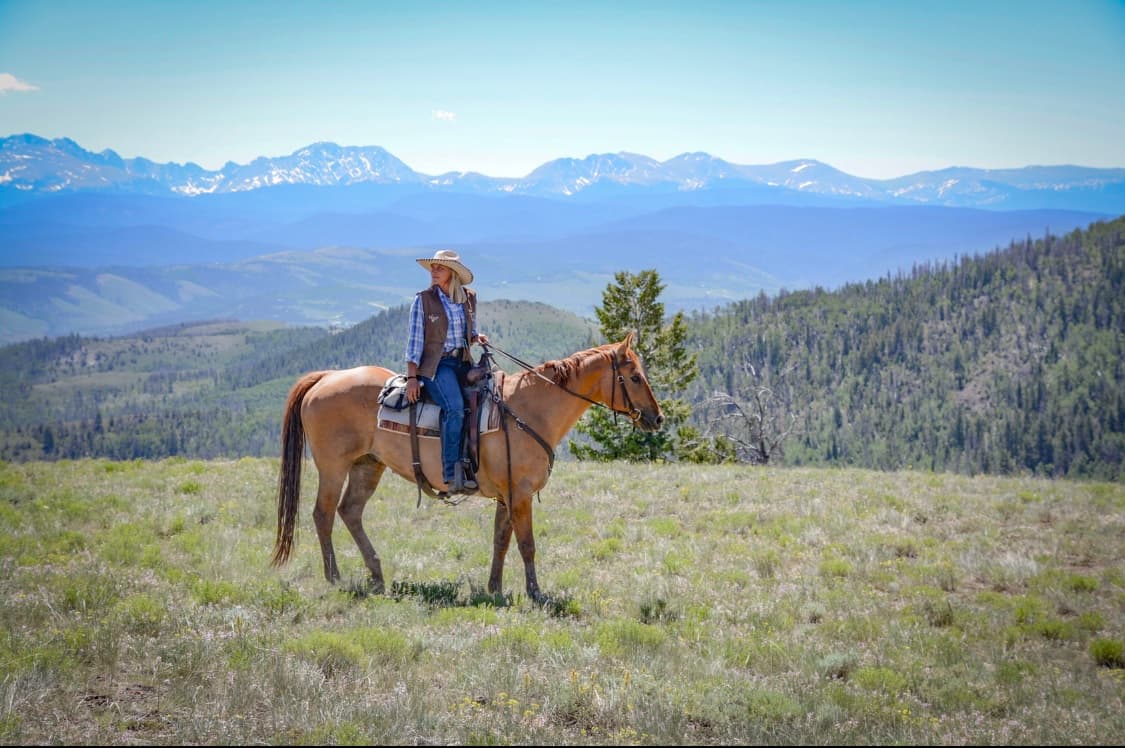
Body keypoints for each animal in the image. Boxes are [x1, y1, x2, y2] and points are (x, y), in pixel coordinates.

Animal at [271, 332, 664, 601]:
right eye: (634, 377)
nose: (657, 418)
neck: (530, 409)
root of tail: (326, 377)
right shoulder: (520, 494)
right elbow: (527, 544)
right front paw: (535, 593)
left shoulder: (506, 496)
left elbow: (500, 541)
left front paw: (495, 589)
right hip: (333, 467)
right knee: (323, 514)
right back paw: (334, 577)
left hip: (368, 466)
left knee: (349, 512)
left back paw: (377, 575)